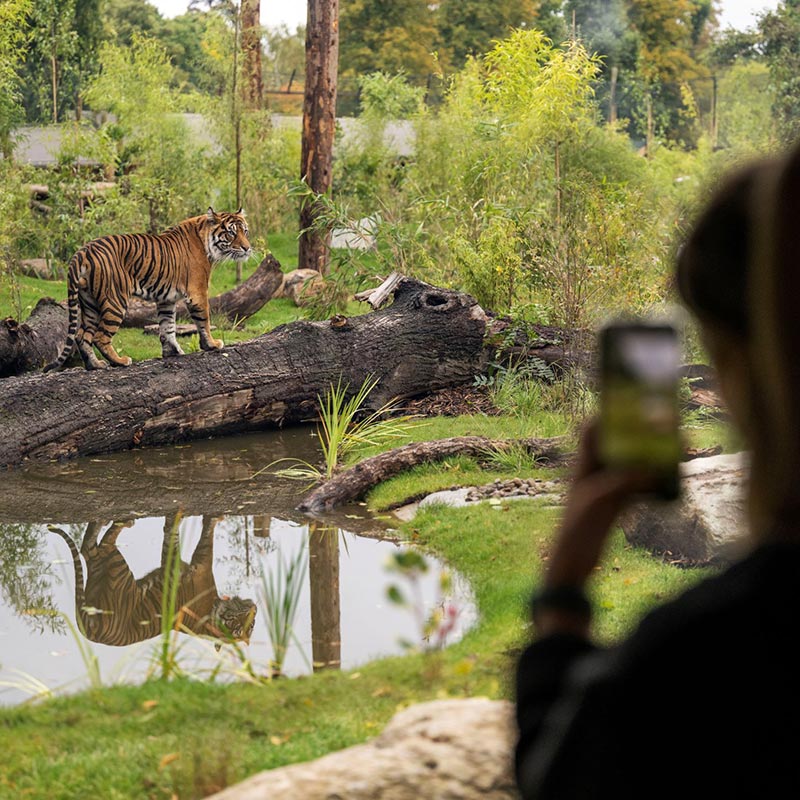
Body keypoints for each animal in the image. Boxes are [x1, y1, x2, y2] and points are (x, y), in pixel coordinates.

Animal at [43, 208, 252, 371]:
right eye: (231, 233)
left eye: (245, 231)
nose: (247, 249)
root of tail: (83, 251)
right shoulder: (198, 292)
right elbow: (204, 320)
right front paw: (212, 345)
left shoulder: (166, 299)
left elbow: (168, 326)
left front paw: (172, 352)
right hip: (115, 300)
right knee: (100, 337)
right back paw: (120, 361)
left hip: (89, 303)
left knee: (82, 336)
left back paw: (95, 365)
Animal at [48, 515, 257, 648]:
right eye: (240, 625)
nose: (254, 608)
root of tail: (90, 632)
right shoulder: (200, 565)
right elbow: (191, 534)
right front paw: (213, 518)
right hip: (111, 570)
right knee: (95, 546)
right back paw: (119, 522)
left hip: (111, 570)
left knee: (94, 547)